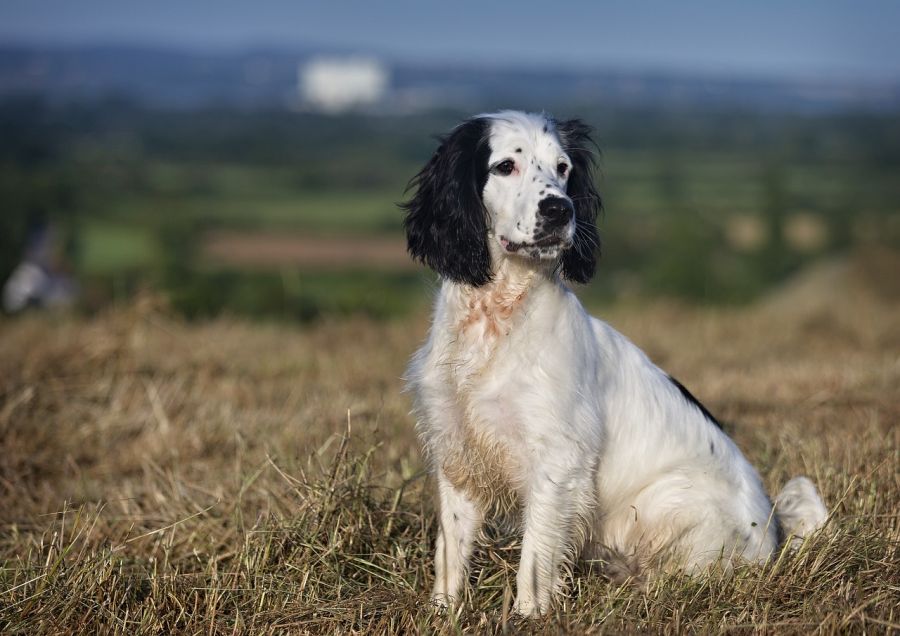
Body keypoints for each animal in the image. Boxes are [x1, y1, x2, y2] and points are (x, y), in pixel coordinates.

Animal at [400, 110, 828, 616]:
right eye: (505, 166)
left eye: (563, 168)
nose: (560, 210)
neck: (496, 320)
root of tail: (773, 537)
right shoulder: (457, 453)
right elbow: (450, 552)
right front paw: (442, 613)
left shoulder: (557, 461)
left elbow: (535, 560)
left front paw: (528, 617)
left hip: (671, 500)